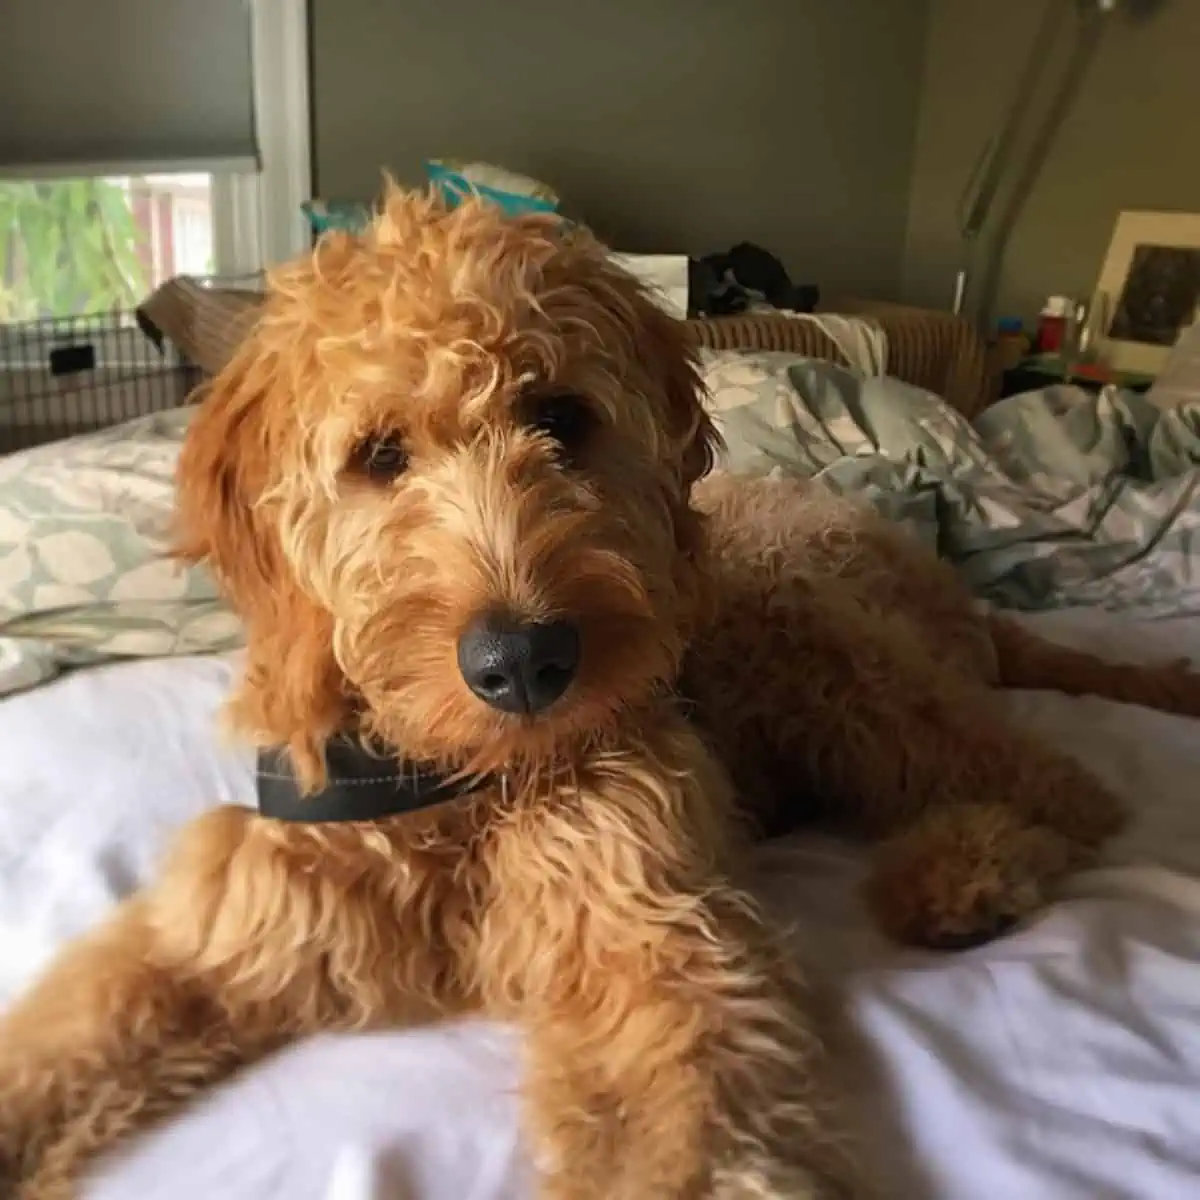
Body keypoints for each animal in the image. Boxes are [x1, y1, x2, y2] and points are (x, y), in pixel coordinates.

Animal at [2, 182, 1200, 1195]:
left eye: (563, 417)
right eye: (380, 454)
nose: (523, 661)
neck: (455, 782)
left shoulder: (649, 941)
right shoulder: (234, 920)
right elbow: (73, 1028)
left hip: (826, 653)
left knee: (1056, 782)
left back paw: (964, 873)